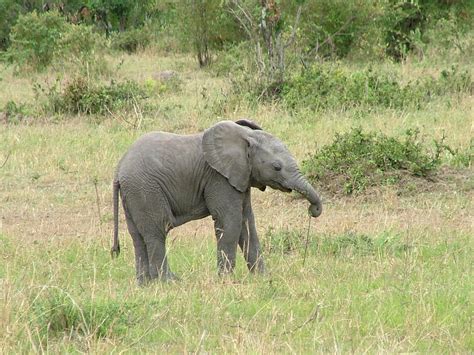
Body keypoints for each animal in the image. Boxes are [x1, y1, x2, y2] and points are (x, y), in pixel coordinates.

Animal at [112, 119, 322, 284]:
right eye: (277, 167)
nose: (313, 210)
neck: (245, 137)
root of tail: (119, 168)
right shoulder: (218, 178)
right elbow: (231, 222)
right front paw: (226, 281)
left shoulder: (241, 178)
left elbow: (247, 223)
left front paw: (264, 278)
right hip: (145, 189)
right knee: (157, 231)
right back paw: (169, 282)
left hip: (134, 194)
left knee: (137, 236)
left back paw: (145, 284)